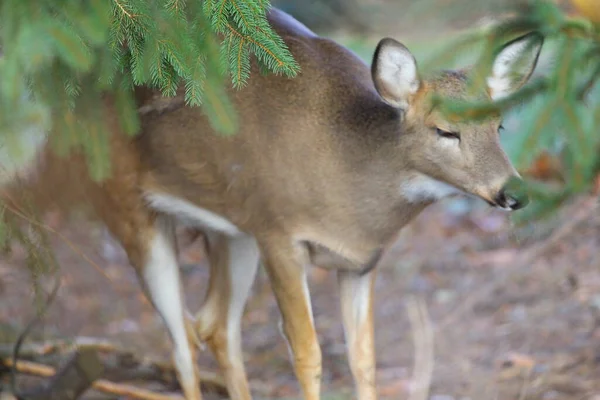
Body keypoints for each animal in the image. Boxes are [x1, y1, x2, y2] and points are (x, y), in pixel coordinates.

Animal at [1, 6, 544, 400]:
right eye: (445, 131)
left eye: (499, 125)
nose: (513, 193)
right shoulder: (282, 233)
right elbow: (308, 354)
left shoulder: (361, 262)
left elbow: (363, 359)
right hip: (127, 205)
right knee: (180, 342)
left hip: (235, 229)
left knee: (216, 327)